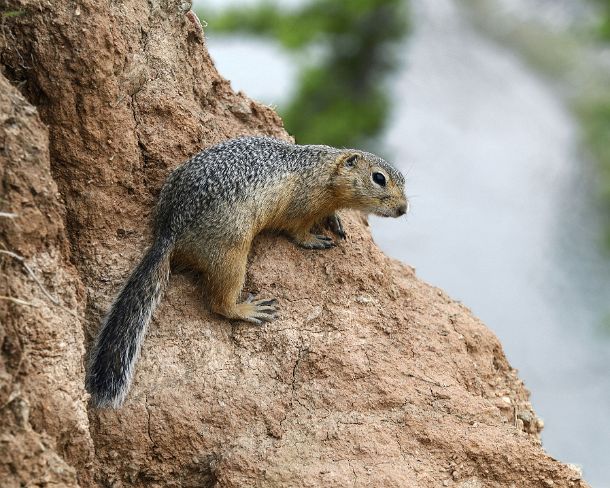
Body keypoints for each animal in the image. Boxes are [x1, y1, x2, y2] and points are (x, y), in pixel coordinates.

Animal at [85, 135, 406, 406]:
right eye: (379, 178)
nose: (404, 209)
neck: (322, 169)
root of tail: (168, 231)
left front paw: (335, 220)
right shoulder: (301, 207)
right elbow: (297, 231)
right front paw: (314, 239)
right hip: (231, 253)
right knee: (217, 302)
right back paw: (246, 310)